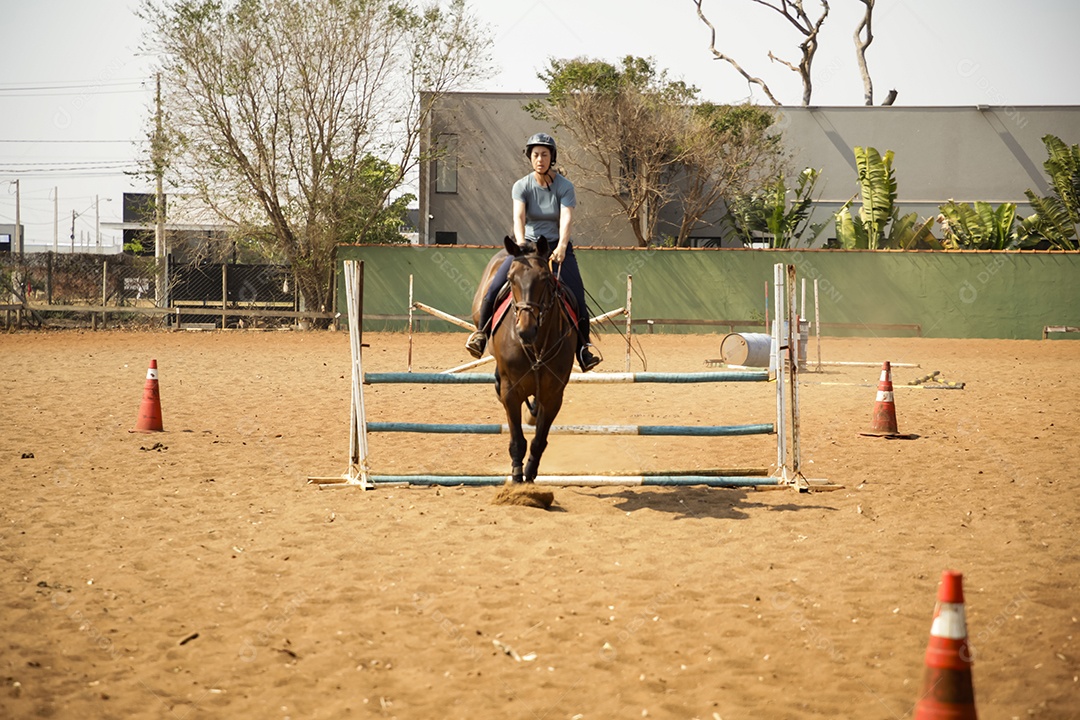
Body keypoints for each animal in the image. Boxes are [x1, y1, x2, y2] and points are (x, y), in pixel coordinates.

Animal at [470, 237, 578, 483]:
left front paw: (529, 473)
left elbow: (539, 440)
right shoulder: (511, 390)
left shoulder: (554, 395)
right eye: (511, 279)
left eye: (545, 278)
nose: (525, 330)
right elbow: (517, 440)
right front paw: (517, 475)